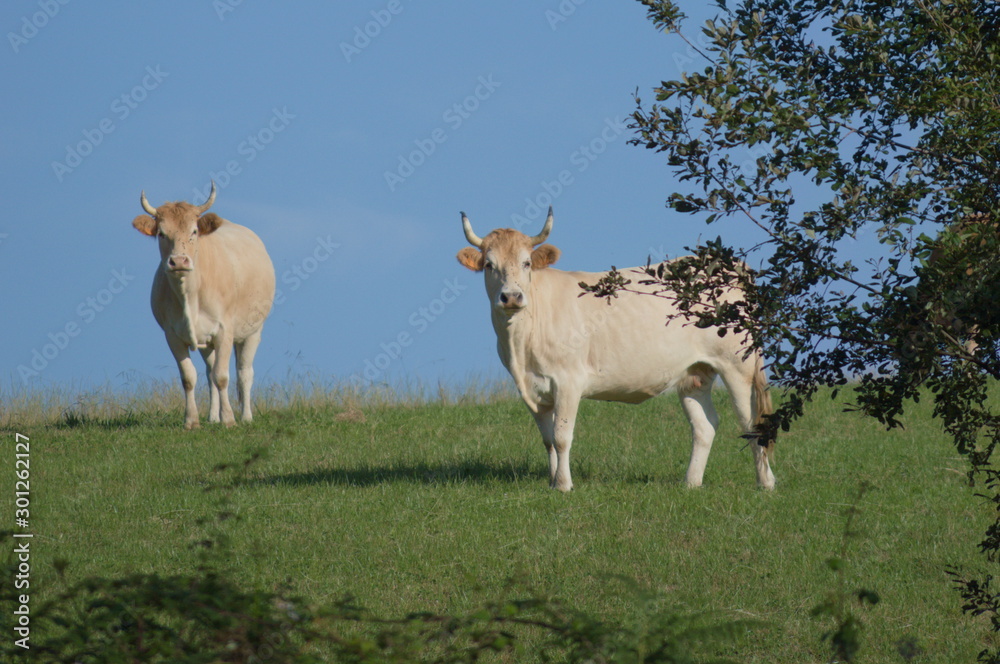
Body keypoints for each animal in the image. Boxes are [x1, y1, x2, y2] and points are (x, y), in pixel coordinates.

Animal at [132, 182, 276, 429]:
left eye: (194, 231)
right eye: (161, 233)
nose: (179, 261)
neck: (189, 296)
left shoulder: (225, 331)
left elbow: (222, 376)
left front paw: (229, 419)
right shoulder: (172, 335)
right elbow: (190, 378)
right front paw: (192, 421)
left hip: (253, 331)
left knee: (244, 372)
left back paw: (246, 416)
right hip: (206, 342)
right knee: (209, 373)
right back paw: (212, 417)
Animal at [456, 208, 775, 491]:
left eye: (526, 263)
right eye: (489, 265)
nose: (511, 297)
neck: (521, 345)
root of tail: (733, 265)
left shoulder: (568, 381)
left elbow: (561, 436)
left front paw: (564, 485)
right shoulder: (532, 389)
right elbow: (547, 440)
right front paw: (552, 482)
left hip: (737, 366)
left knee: (751, 421)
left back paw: (765, 483)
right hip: (695, 373)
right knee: (704, 425)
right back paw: (691, 483)